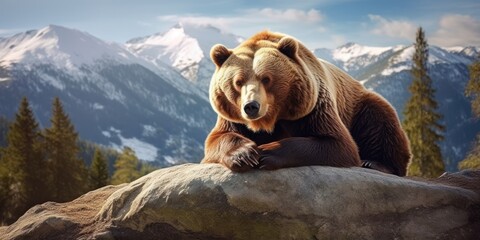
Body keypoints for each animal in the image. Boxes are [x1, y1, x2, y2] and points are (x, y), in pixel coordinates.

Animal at [201, 31, 410, 175]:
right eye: (238, 82)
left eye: (266, 79)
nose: (251, 106)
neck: (273, 118)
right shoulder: (232, 117)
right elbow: (218, 139)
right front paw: (245, 155)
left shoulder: (312, 106)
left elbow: (337, 144)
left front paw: (267, 153)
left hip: (360, 105)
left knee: (381, 120)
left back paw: (375, 163)